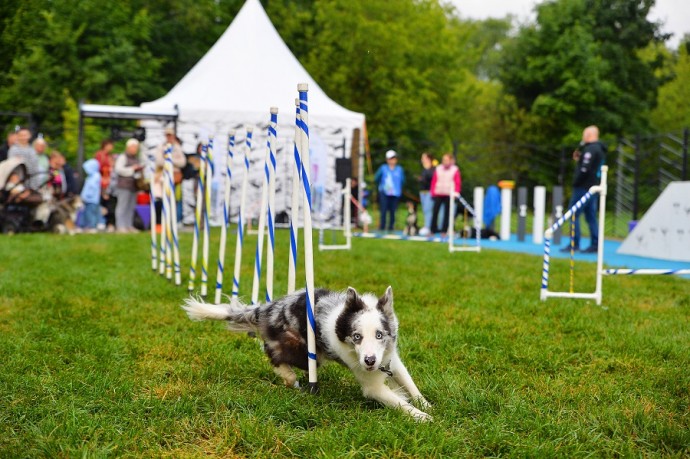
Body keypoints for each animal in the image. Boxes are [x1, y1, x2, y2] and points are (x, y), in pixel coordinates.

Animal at [183, 288, 430, 424]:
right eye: (356, 336)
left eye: (379, 335)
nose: (369, 361)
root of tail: (268, 309)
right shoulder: (372, 385)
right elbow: (398, 402)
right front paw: (423, 418)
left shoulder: (391, 361)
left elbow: (409, 384)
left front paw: (426, 405)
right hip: (306, 353)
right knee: (271, 351)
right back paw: (288, 376)